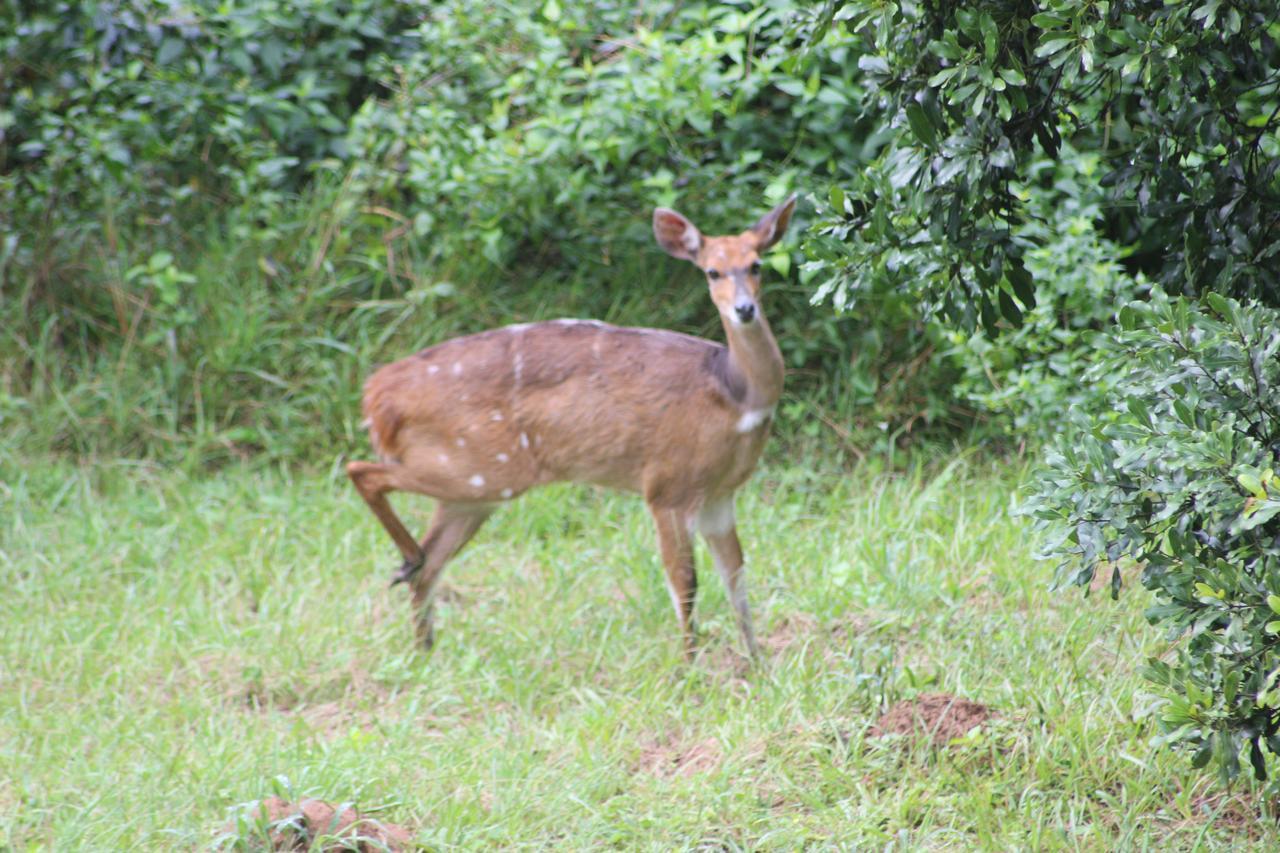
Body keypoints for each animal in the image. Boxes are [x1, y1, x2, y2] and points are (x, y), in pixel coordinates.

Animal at [345, 194, 793, 655]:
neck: (735, 395)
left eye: (756, 264)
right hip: (478, 470)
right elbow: (686, 583)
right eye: (712, 271)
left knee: (432, 562)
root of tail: (377, 398)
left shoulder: (720, 495)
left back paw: (424, 643)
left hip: (472, 489)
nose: (744, 309)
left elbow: (736, 577)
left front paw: (756, 660)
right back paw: (408, 567)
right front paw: (690, 664)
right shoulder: (668, 487)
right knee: (363, 472)